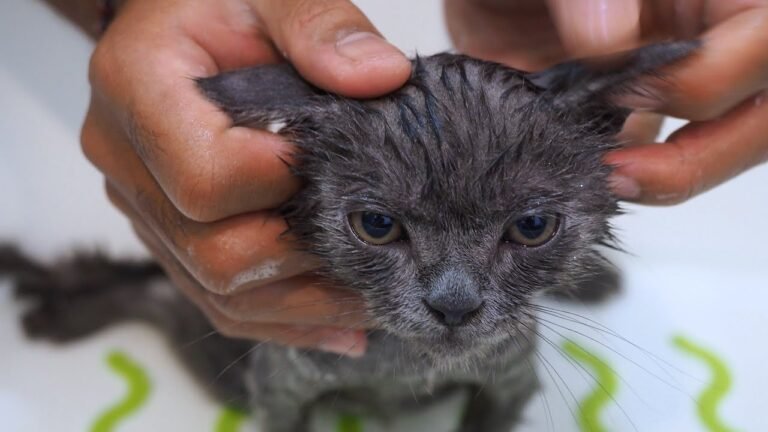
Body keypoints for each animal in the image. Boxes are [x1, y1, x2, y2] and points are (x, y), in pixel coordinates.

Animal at [3, 40, 700, 432]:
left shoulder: (510, 377)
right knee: (145, 288)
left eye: (531, 228)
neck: (405, 365)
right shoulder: (279, 387)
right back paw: (58, 312)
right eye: (377, 226)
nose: (454, 305)